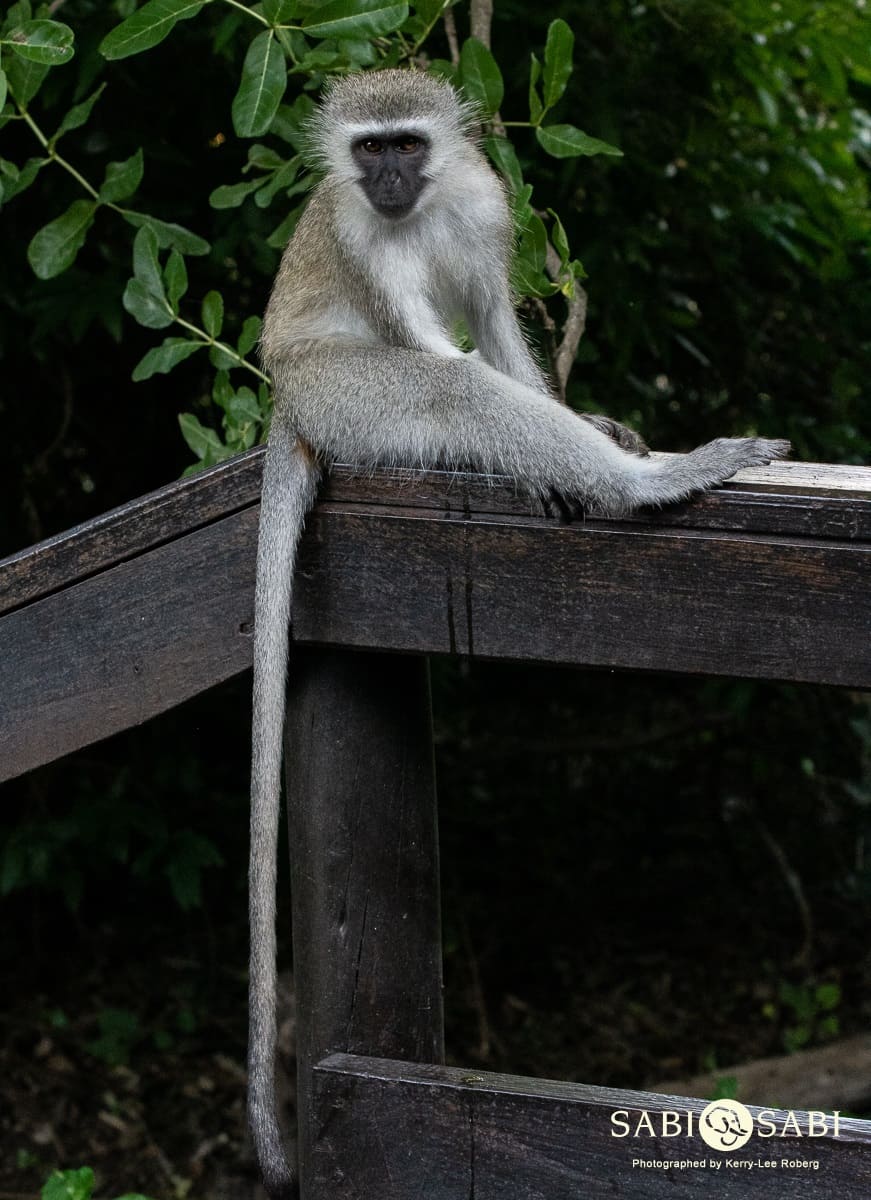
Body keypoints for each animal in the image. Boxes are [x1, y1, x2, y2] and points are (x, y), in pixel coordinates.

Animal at [247, 68, 791, 1200]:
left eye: (407, 144)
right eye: (368, 152)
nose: (389, 182)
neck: (416, 208)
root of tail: (287, 397)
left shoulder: (486, 209)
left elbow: (497, 318)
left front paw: (590, 417)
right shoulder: (363, 247)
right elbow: (441, 351)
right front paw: (590, 454)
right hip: (347, 397)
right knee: (447, 387)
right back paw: (637, 483)